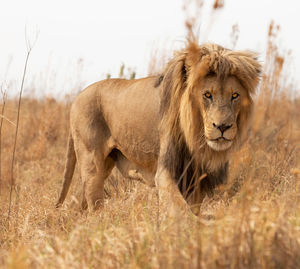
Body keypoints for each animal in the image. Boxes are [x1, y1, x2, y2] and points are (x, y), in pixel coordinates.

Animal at [55, 40, 260, 216]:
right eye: (207, 95)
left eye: (235, 95)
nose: (223, 126)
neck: (195, 136)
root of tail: (77, 98)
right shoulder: (166, 171)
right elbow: (180, 208)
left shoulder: (195, 178)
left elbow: (190, 209)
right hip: (92, 163)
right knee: (93, 202)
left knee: (79, 202)